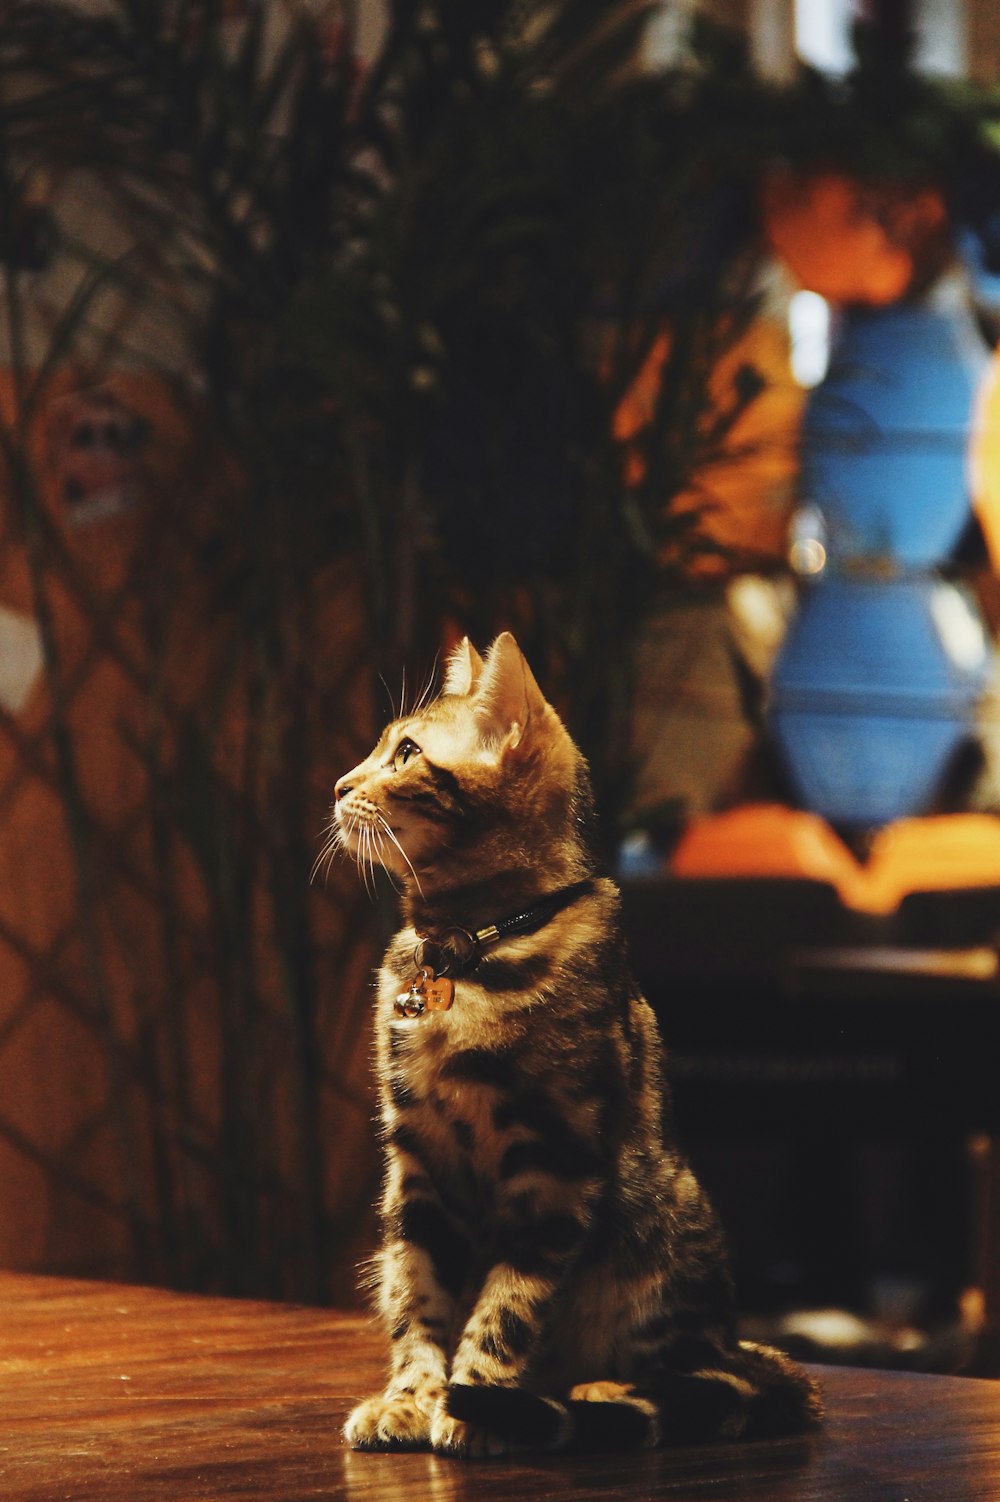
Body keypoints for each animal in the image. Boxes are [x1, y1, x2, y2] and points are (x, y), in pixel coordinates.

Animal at [334, 630, 816, 1453]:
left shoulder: (556, 1167)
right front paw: (412, 1396)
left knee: (693, 1370)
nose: (337, 786)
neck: (466, 950)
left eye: (405, 753)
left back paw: (600, 1390)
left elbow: (507, 1306)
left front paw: (473, 1403)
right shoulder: (416, 1165)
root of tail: (744, 1347)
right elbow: (419, 1294)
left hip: (664, 1236)